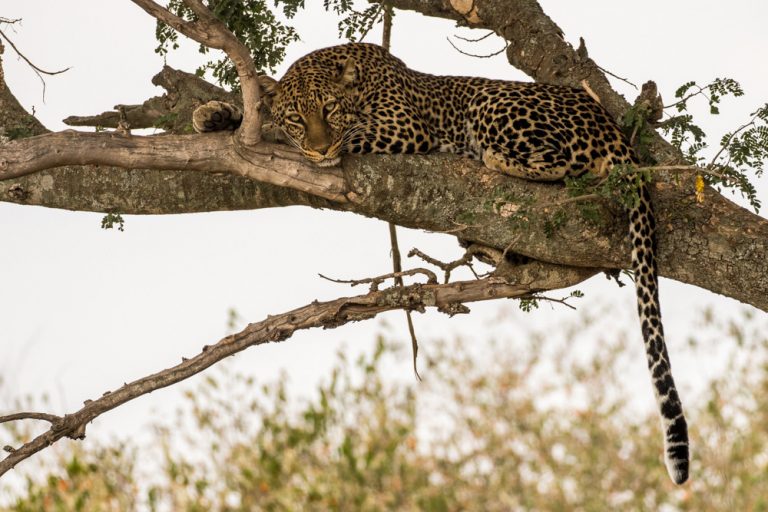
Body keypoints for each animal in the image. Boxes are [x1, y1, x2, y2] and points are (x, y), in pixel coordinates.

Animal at [192, 43, 688, 484]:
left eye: (329, 111)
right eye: (299, 116)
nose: (319, 150)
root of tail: (613, 128)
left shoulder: (402, 126)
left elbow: (319, 135)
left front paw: (267, 131)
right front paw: (216, 114)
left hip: (494, 103)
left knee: (561, 162)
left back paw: (491, 159)